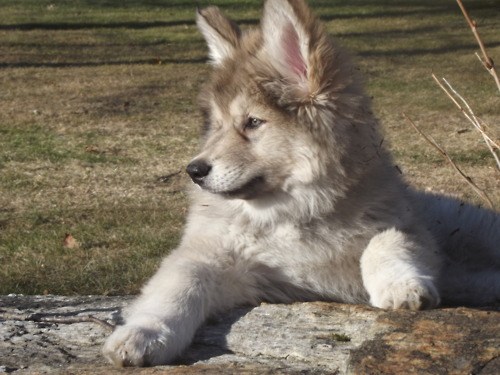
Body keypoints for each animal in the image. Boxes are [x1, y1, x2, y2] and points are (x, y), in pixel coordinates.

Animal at [103, 0, 498, 366]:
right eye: (217, 125)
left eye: (252, 122)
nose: (194, 171)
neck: (292, 211)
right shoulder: (222, 262)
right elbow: (176, 288)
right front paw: (144, 333)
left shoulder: (410, 230)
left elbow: (386, 242)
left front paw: (401, 286)